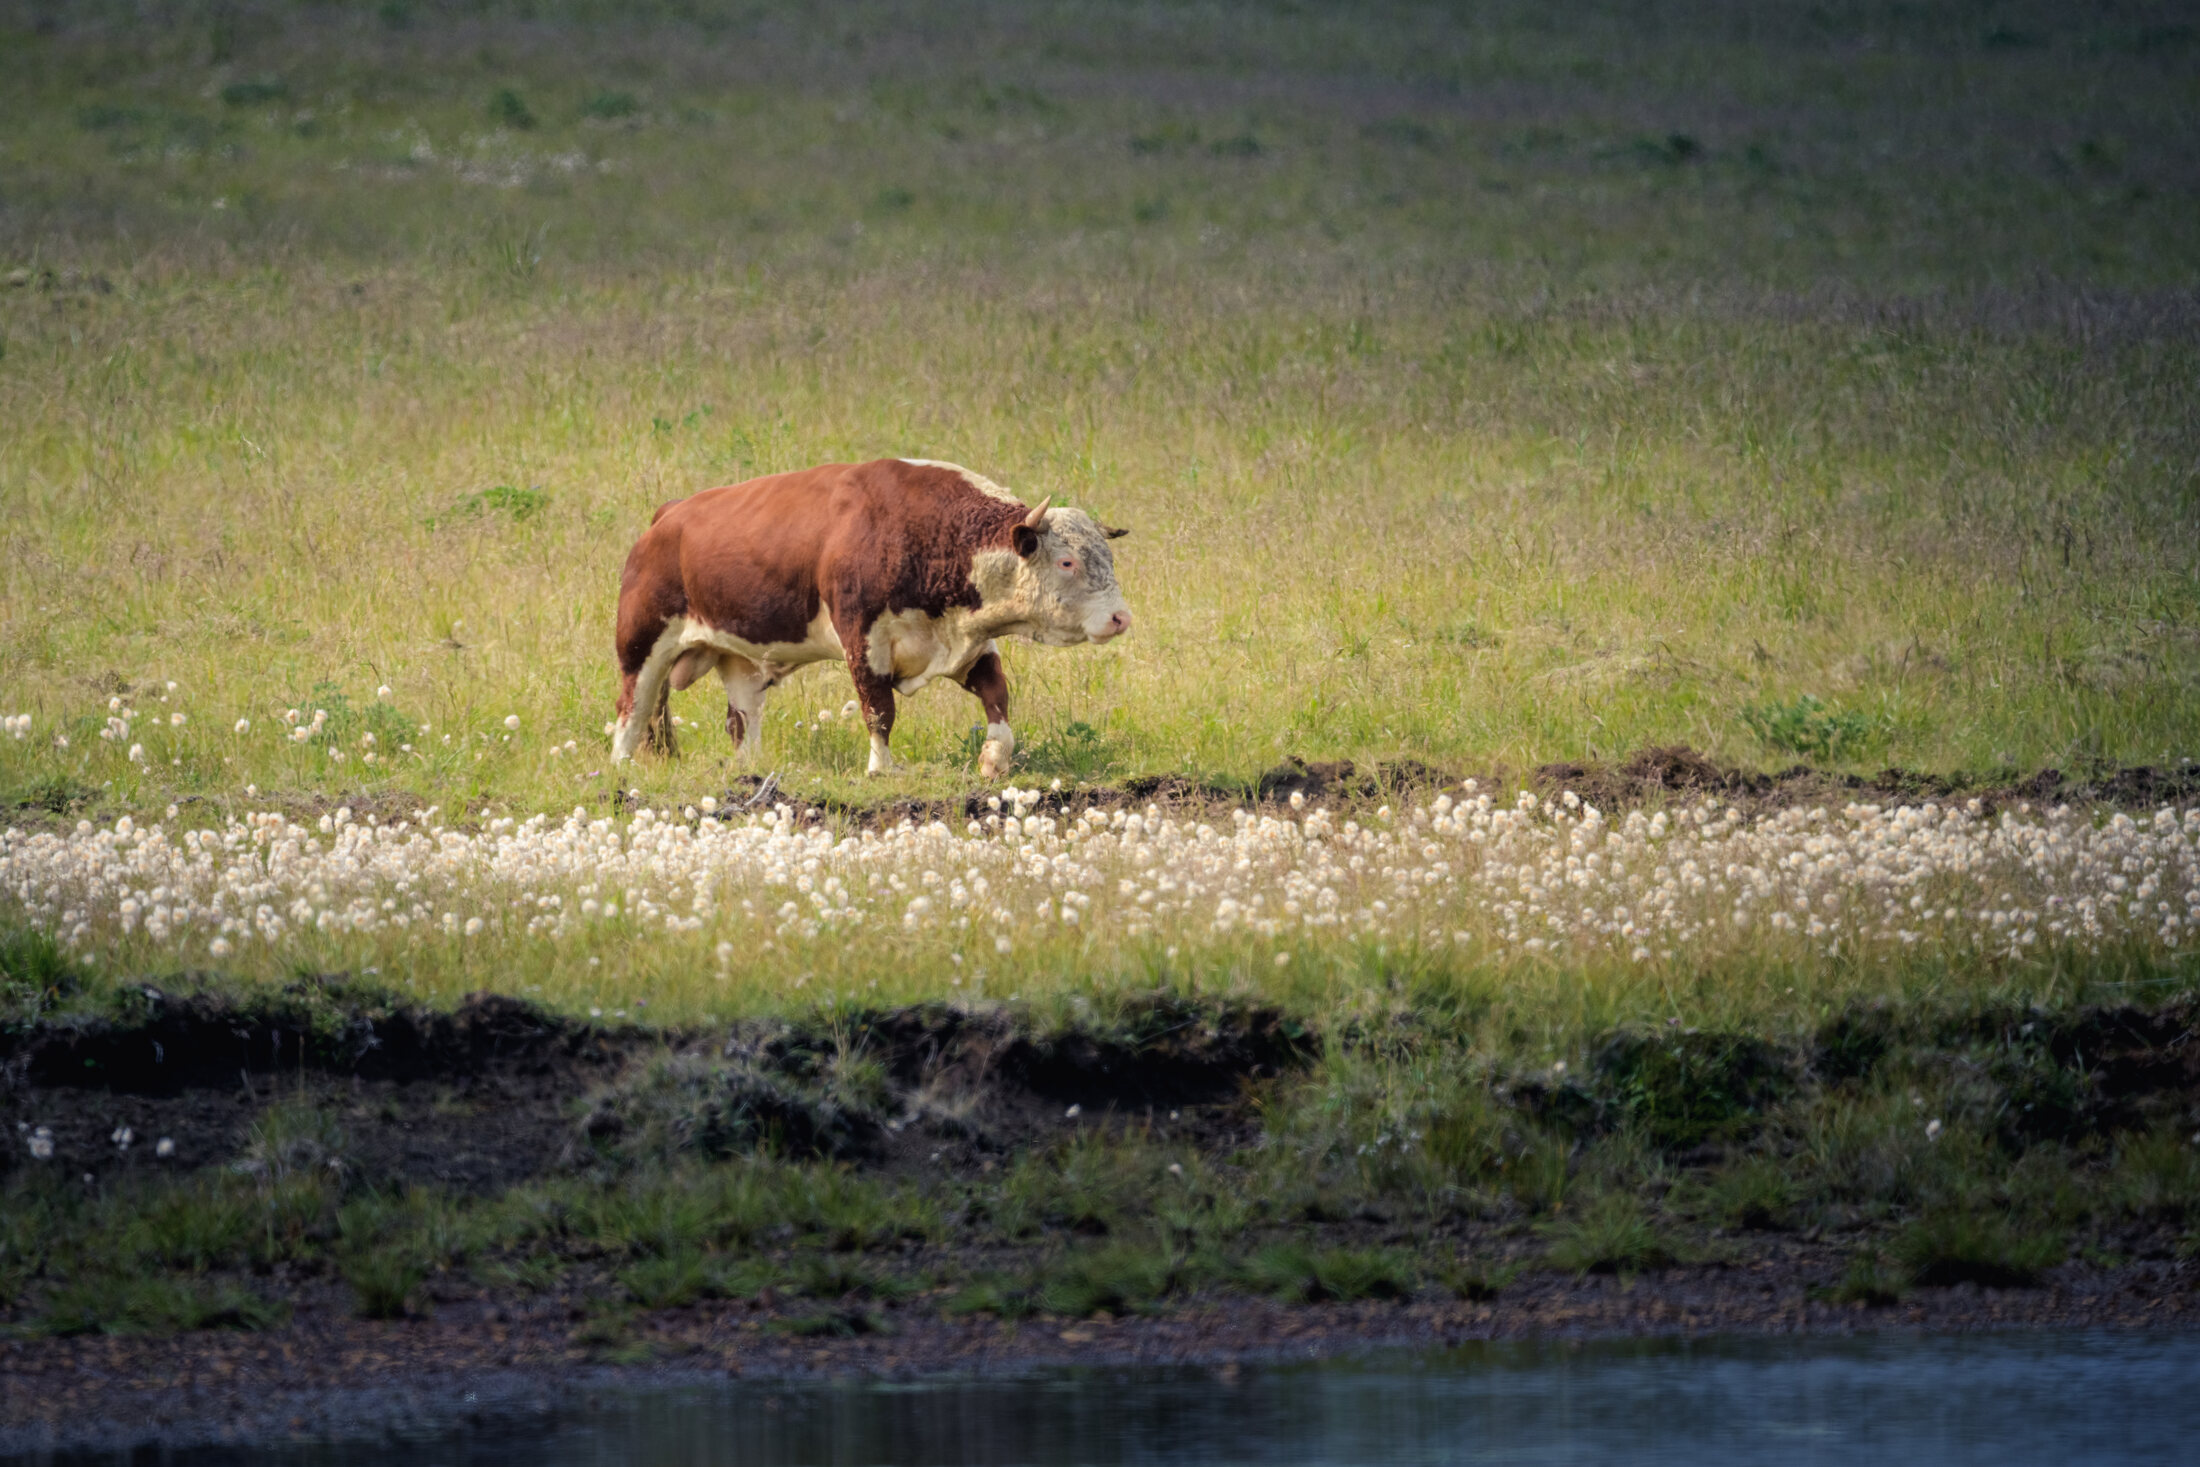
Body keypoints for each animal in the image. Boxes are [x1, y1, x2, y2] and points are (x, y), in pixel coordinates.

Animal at [611, 458, 1132, 777]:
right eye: (1067, 561)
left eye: (1107, 556)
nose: (1120, 617)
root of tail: (670, 515)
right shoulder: (862, 640)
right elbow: (879, 710)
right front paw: (882, 768)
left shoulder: (970, 642)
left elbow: (997, 695)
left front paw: (994, 759)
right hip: (641, 645)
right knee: (632, 711)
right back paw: (620, 767)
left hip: (740, 660)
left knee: (742, 720)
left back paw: (750, 771)